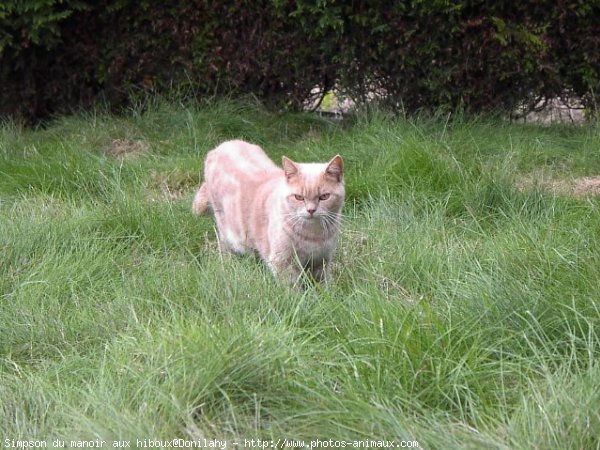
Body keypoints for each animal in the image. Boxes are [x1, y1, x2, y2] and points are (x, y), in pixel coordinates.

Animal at [190, 139, 344, 284]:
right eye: (299, 197)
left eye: (324, 197)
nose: (311, 210)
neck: (314, 235)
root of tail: (222, 146)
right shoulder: (283, 264)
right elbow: (293, 289)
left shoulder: (321, 262)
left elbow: (321, 286)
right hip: (227, 232)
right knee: (225, 249)